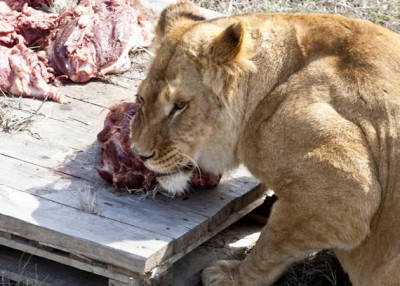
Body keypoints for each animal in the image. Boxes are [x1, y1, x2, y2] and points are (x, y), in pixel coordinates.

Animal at [130, 1, 400, 284]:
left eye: (179, 106)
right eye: (140, 99)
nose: (139, 154)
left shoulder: (348, 191)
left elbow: (270, 245)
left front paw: (232, 277)